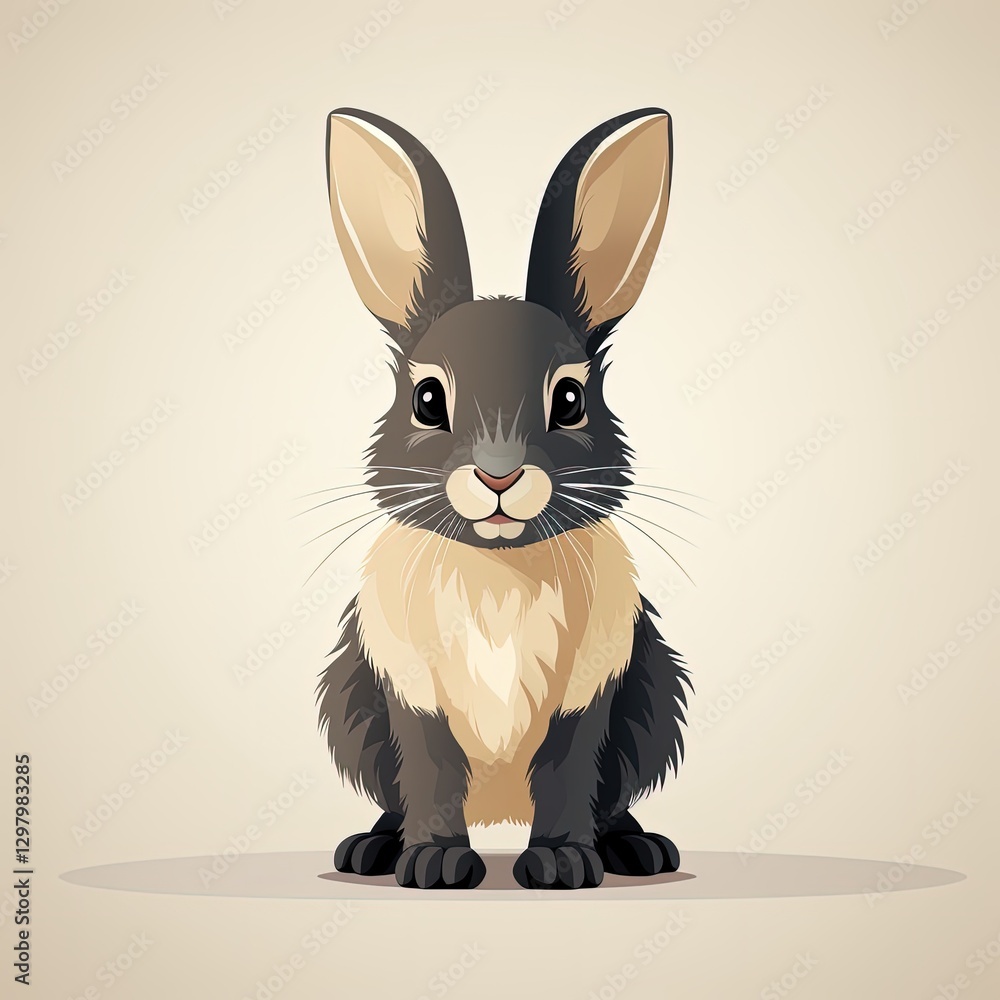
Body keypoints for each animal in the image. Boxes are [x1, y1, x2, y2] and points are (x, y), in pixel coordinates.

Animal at [317, 107, 690, 890]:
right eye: (428, 399)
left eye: (571, 399)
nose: (498, 477)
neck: (499, 565)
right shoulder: (408, 693)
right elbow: (431, 771)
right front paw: (434, 865)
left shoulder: (592, 692)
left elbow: (566, 773)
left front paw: (561, 865)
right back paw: (372, 850)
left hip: (652, 699)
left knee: (612, 799)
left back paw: (636, 850)